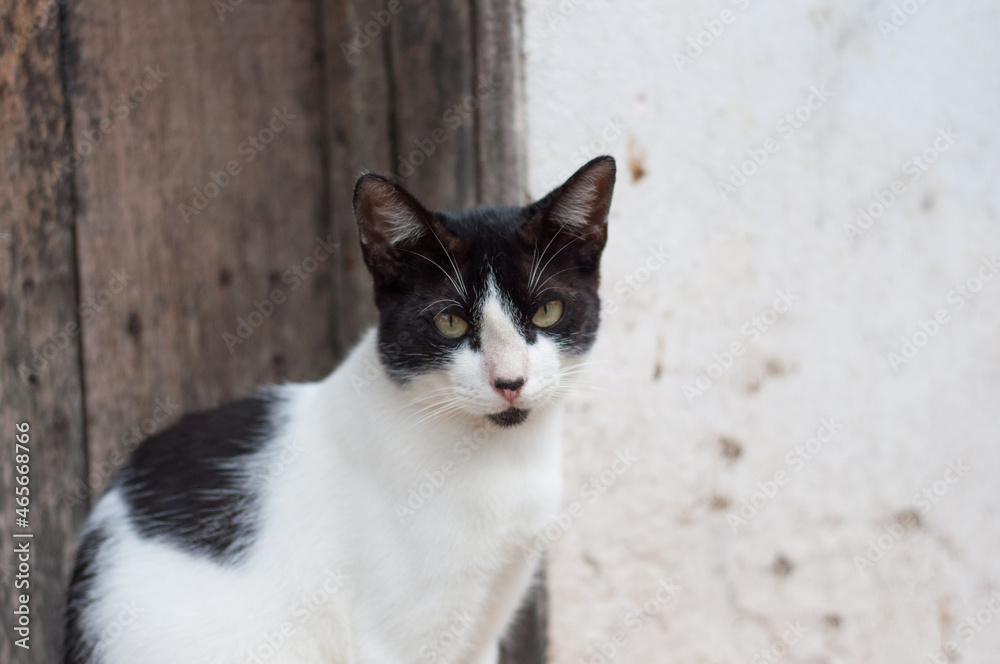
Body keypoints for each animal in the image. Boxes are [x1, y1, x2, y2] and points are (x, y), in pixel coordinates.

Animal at [64, 154, 616, 664]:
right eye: (451, 322)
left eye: (547, 311)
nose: (509, 382)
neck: (503, 459)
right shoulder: (395, 642)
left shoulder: (486, 621)